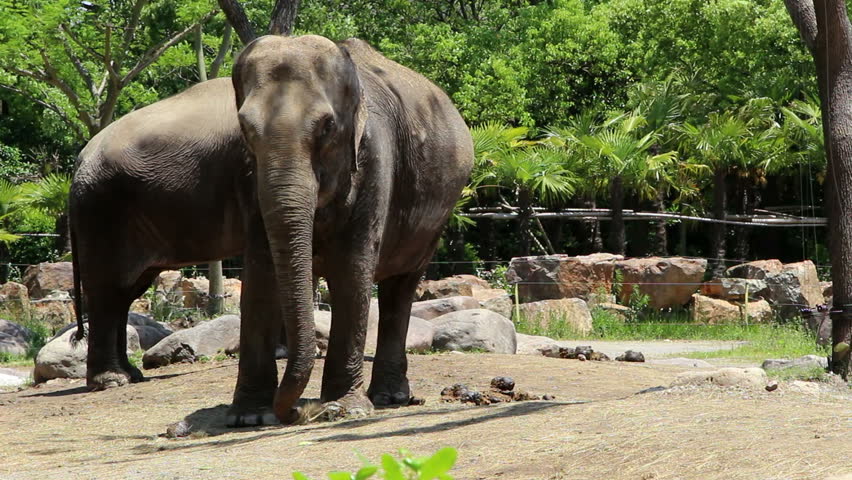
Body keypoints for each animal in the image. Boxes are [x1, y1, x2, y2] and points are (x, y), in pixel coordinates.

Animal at [71, 76, 280, 390]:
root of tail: (80, 160)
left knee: (125, 292)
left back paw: (131, 375)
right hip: (101, 211)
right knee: (106, 289)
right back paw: (112, 381)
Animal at [228, 36, 472, 428]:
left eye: (327, 127)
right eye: (246, 128)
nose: (297, 412)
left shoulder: (374, 159)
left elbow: (351, 269)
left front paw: (345, 408)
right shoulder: (246, 171)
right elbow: (260, 271)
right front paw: (248, 417)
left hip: (436, 217)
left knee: (401, 287)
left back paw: (389, 397)